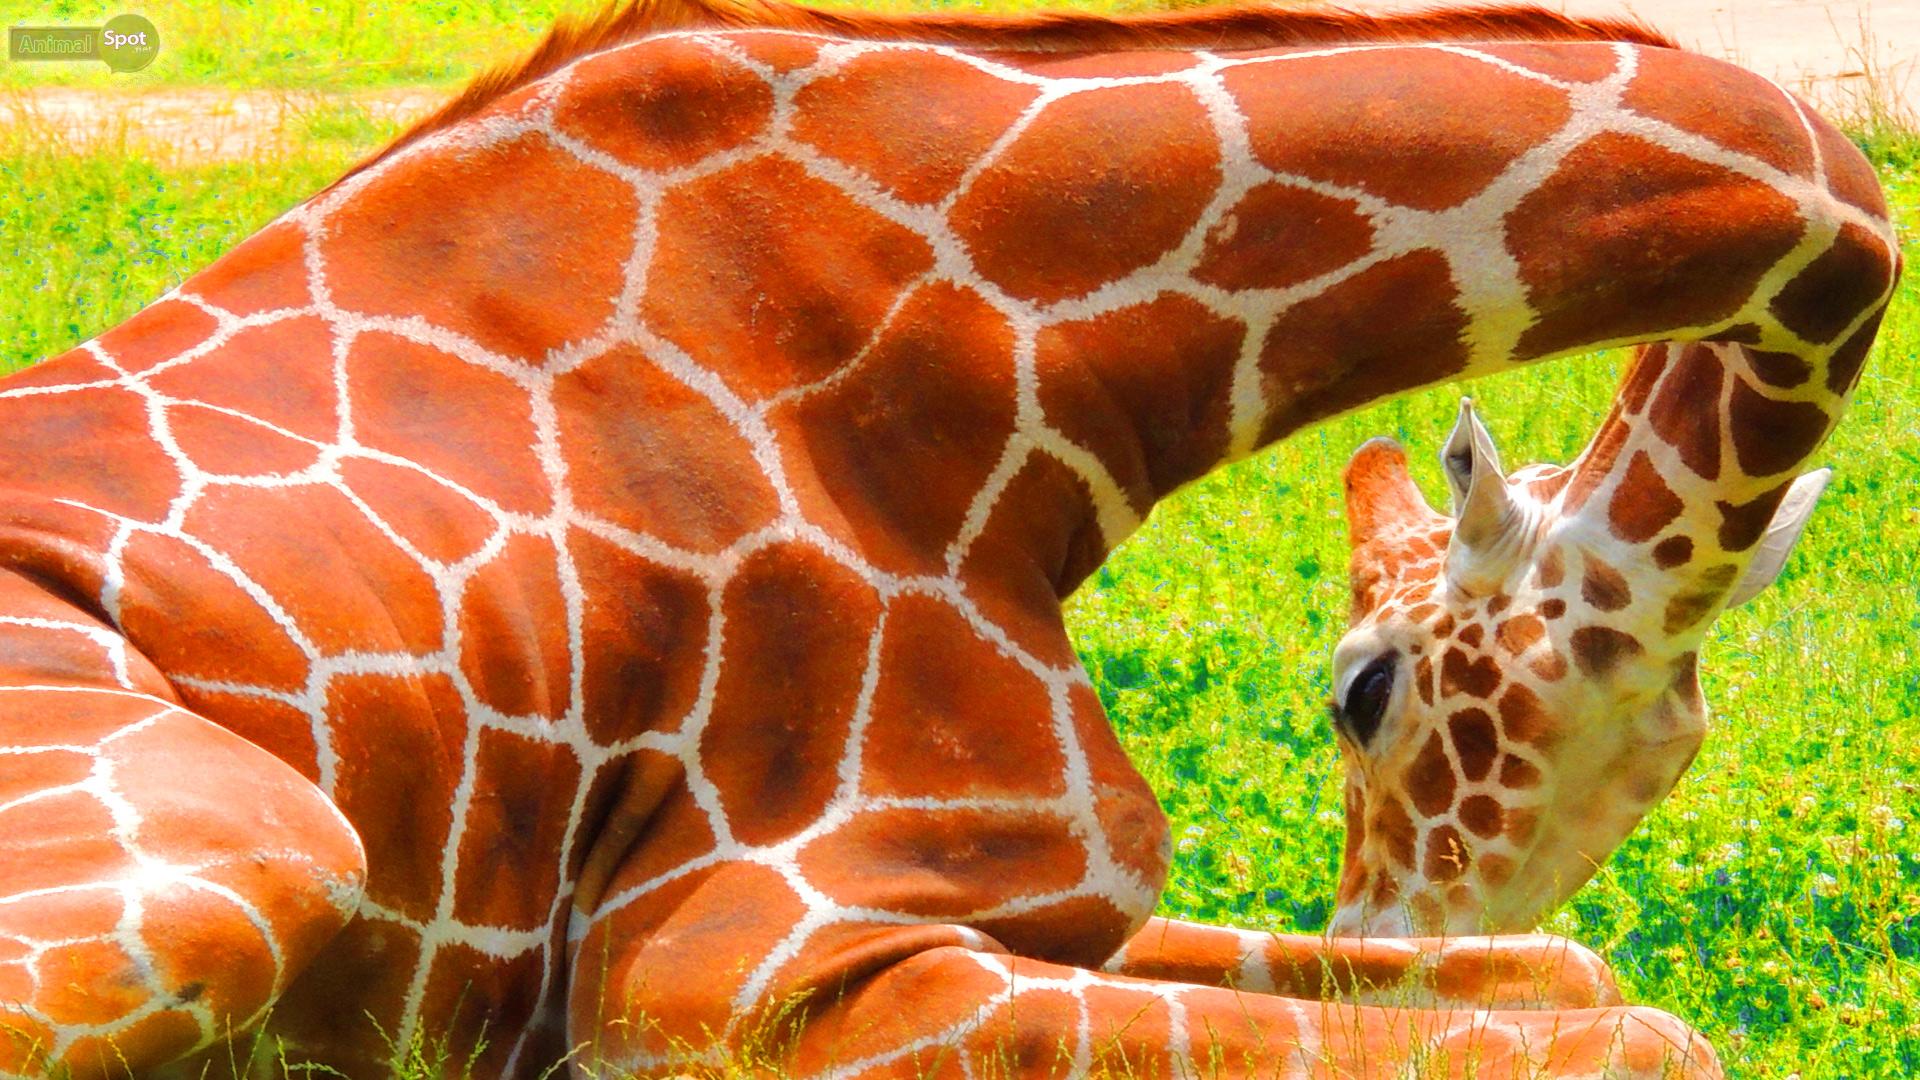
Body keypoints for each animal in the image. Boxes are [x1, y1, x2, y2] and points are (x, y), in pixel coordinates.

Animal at [0, 0, 1898, 1075]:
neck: (1009, 360)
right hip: (246, 856)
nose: (1385, 905)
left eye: (1680, 753)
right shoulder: (724, 981)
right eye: (1357, 692)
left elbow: (1575, 970)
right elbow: (1643, 1036)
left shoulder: (1040, 907)